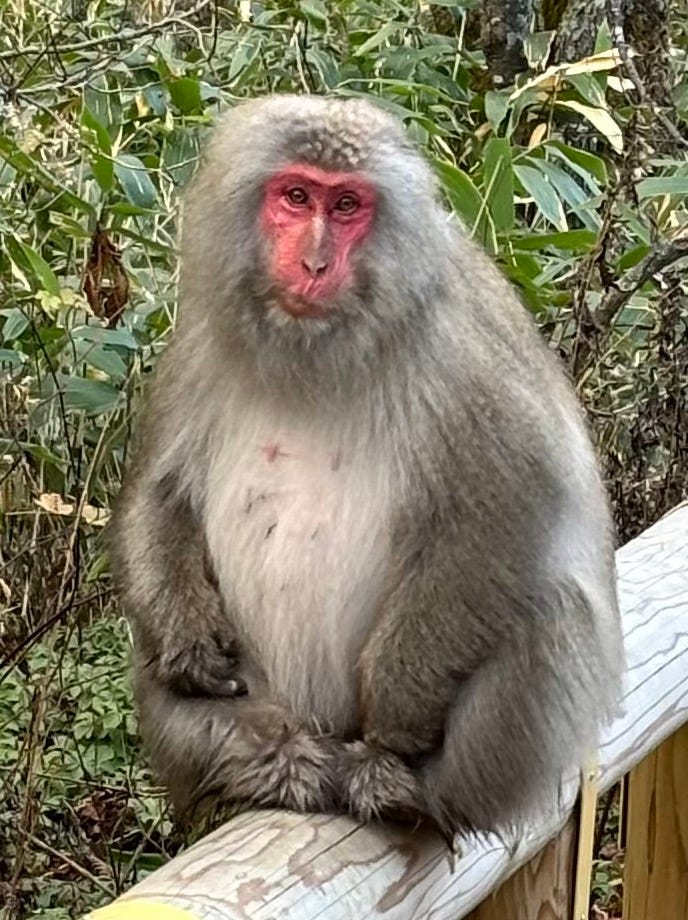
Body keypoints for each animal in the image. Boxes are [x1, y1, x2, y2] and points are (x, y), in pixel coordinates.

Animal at [110, 93, 628, 840]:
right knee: (157, 655)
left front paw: (397, 704)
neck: (325, 342)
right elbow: (162, 494)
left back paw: (408, 787)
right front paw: (189, 640)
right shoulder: (203, 339)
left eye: (349, 205)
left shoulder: (458, 342)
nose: (315, 262)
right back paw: (261, 758)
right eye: (297, 196)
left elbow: (516, 503)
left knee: (548, 607)